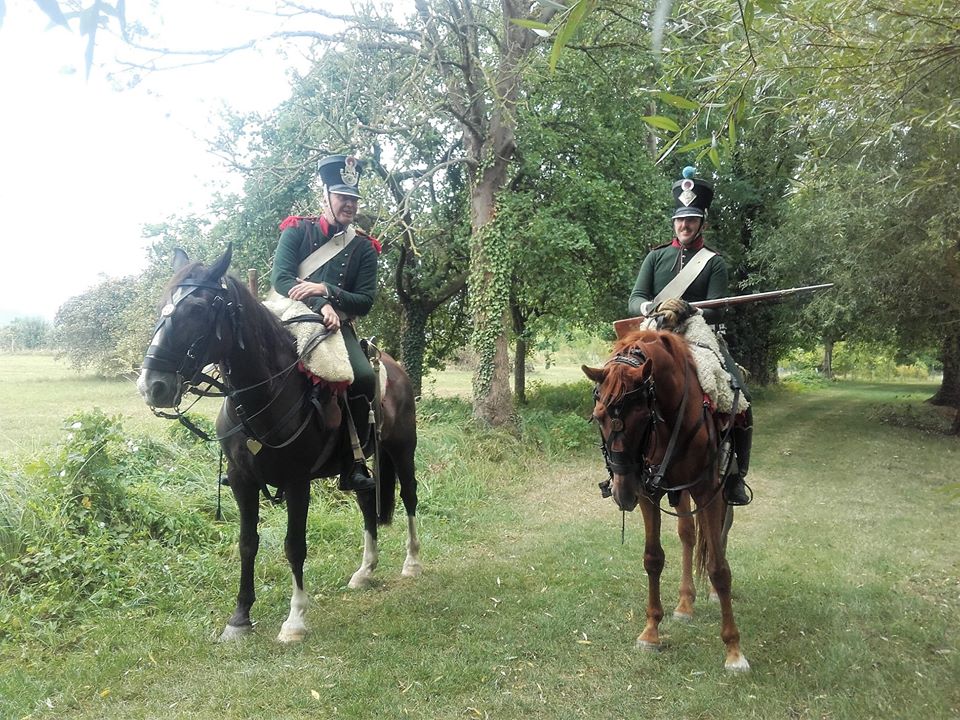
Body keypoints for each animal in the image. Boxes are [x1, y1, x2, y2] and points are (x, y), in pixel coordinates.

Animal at [135, 246, 420, 640]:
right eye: (163, 304)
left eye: (198, 309)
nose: (153, 385)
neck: (266, 393)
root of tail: (394, 367)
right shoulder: (242, 482)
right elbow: (247, 543)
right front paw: (239, 617)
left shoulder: (297, 483)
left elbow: (294, 546)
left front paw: (295, 620)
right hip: (360, 465)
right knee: (366, 501)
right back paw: (365, 571)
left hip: (402, 449)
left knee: (409, 497)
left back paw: (412, 562)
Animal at [576, 330, 752, 672]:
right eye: (599, 417)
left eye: (644, 417)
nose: (622, 493)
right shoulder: (649, 492)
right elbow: (653, 558)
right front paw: (651, 632)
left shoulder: (708, 491)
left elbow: (719, 568)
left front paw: (734, 650)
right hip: (677, 492)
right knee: (687, 535)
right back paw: (685, 603)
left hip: (719, 488)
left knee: (721, 532)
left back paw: (710, 595)